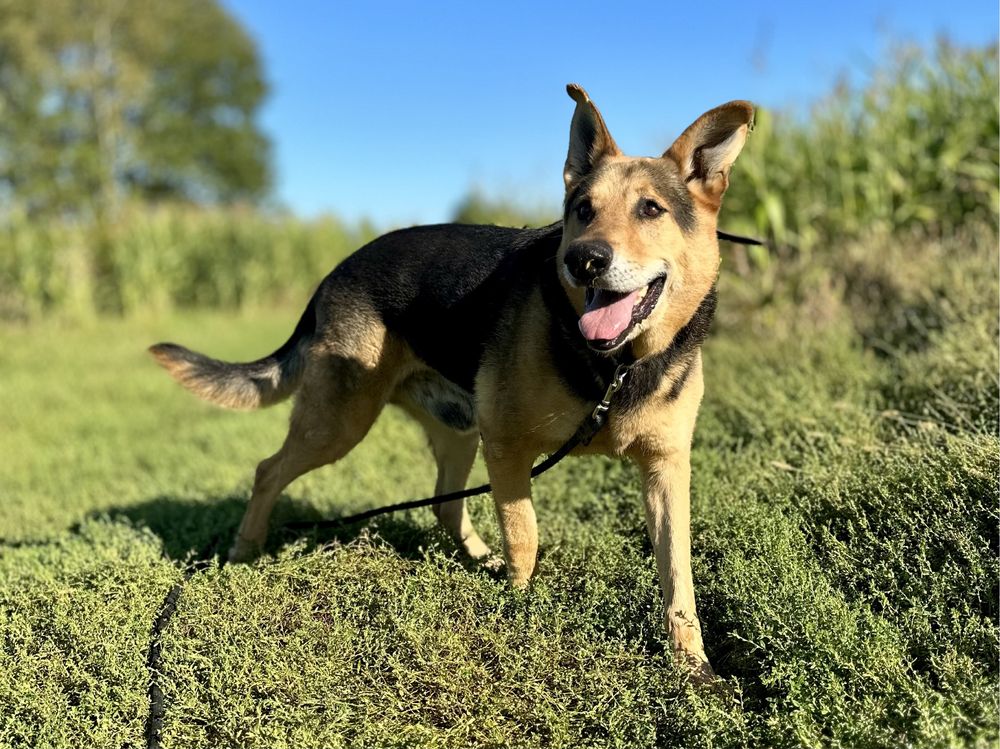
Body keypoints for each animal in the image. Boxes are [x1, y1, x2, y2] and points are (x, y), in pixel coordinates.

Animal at [150, 84, 752, 680]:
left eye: (651, 209)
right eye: (583, 210)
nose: (584, 260)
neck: (617, 365)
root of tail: (332, 274)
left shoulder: (665, 468)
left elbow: (678, 575)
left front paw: (693, 665)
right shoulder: (507, 448)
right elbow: (525, 537)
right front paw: (520, 609)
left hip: (456, 429)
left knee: (443, 503)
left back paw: (477, 556)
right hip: (340, 423)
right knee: (268, 470)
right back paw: (244, 551)